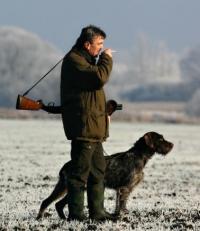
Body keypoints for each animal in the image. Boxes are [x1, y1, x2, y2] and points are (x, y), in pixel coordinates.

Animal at [37, 131, 173, 219]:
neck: (139, 155)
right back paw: (40, 218)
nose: (172, 145)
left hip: (71, 187)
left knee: (57, 204)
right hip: (67, 186)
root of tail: (66, 165)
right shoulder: (124, 188)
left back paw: (63, 219)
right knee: (47, 202)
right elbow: (122, 204)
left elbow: (120, 204)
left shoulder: (123, 189)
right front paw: (122, 216)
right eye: (160, 139)